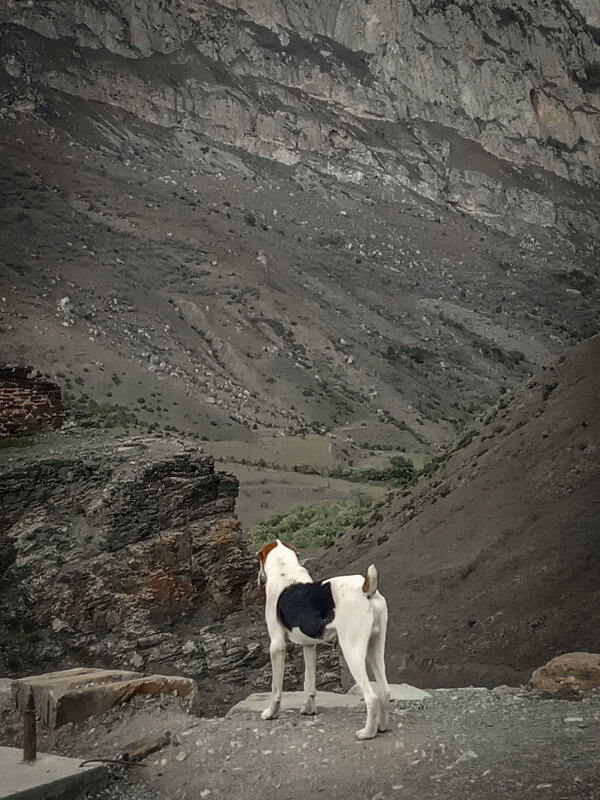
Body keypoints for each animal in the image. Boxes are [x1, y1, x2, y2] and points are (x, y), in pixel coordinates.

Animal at [256, 540, 390, 740]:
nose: (258, 580)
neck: (285, 571)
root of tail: (366, 588)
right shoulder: (309, 645)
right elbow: (309, 683)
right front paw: (308, 710)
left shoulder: (277, 646)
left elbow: (276, 688)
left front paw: (271, 713)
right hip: (376, 647)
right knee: (385, 690)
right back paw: (381, 727)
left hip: (352, 650)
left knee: (371, 696)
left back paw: (367, 733)